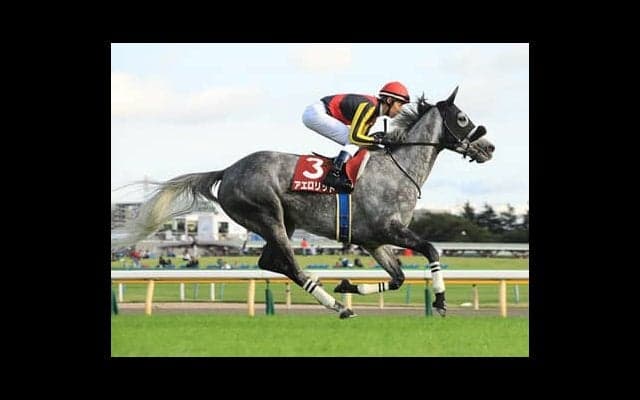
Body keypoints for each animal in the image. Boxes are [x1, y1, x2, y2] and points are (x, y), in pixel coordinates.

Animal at [120, 87, 495, 319]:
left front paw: (348, 283)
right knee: (290, 264)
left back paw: (337, 299)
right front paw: (441, 300)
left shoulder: (373, 240)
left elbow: (399, 277)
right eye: (462, 117)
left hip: (283, 222)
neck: (397, 168)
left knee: (271, 262)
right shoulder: (389, 230)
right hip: (267, 215)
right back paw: (338, 306)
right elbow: (431, 250)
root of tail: (228, 170)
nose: (488, 147)